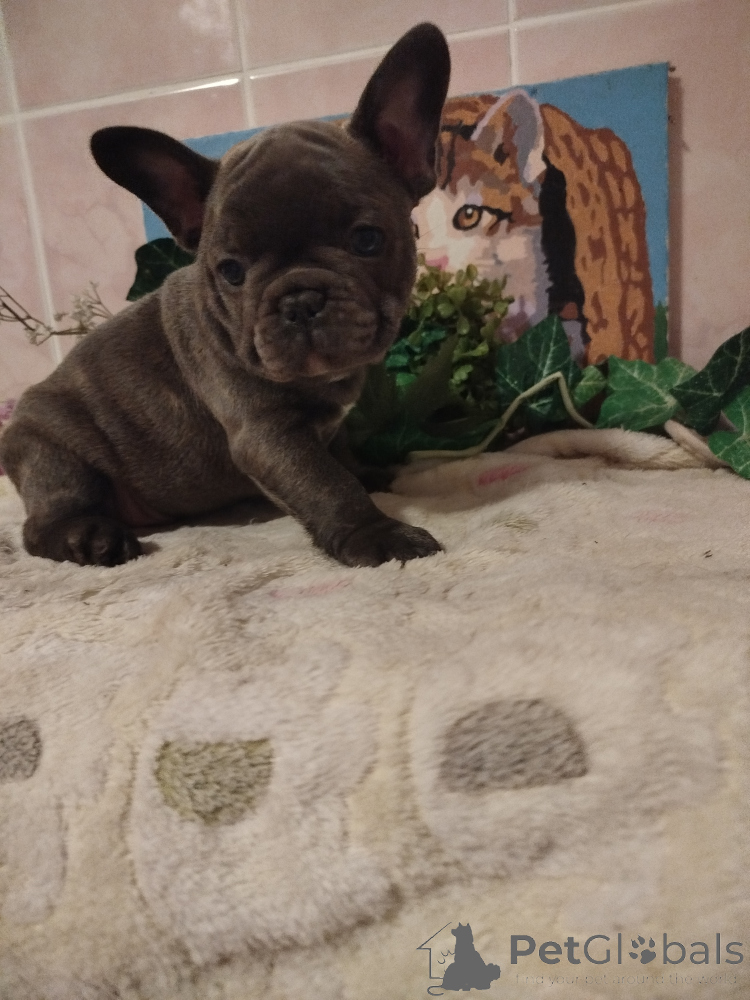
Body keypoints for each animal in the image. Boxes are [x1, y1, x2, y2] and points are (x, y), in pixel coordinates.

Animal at [0, 24, 450, 568]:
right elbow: (326, 484)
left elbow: (341, 458)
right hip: (54, 454)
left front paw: (368, 474)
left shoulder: (327, 428)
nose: (299, 302)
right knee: (43, 521)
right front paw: (377, 534)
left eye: (367, 240)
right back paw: (89, 537)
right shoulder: (267, 433)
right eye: (231, 272)